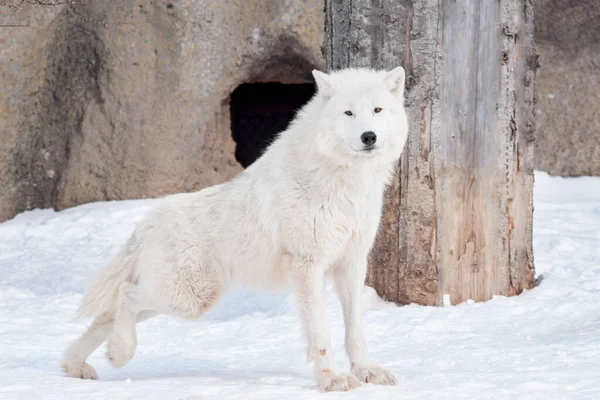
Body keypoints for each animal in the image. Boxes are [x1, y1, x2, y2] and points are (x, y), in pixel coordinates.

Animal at [62, 67, 408, 392]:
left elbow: (355, 330)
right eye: (348, 113)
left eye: (377, 110)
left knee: (107, 315)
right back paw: (120, 353)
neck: (345, 183)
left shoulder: (351, 263)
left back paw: (77, 364)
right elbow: (320, 333)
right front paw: (332, 379)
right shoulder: (307, 266)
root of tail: (148, 221)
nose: (368, 136)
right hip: (189, 299)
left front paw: (367, 372)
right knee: (125, 294)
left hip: (182, 299)